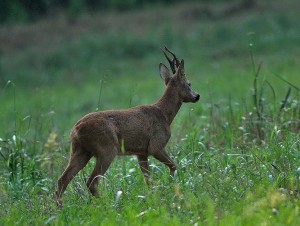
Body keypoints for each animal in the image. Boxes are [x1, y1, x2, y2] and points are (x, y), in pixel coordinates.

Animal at [55, 46, 200, 207]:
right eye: (189, 83)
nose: (197, 96)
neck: (164, 114)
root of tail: (75, 130)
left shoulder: (141, 153)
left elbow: (148, 180)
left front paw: (155, 196)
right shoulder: (156, 144)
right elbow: (173, 165)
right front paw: (170, 186)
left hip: (80, 150)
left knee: (62, 179)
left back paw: (60, 207)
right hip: (107, 148)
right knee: (91, 181)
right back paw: (108, 204)